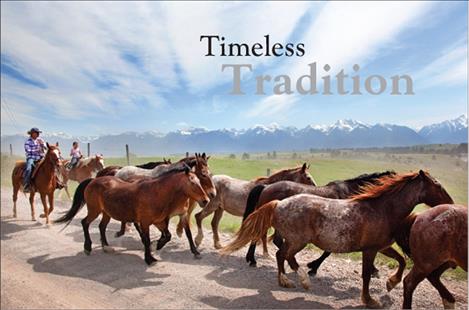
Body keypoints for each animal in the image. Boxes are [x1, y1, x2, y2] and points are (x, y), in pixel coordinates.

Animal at [54, 166, 208, 266]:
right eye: (192, 182)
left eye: (200, 181)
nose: (205, 200)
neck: (156, 193)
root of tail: (92, 180)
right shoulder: (145, 222)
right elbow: (147, 239)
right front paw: (149, 258)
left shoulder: (159, 221)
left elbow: (168, 235)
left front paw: (157, 245)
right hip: (94, 210)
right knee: (85, 223)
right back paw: (87, 247)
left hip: (106, 213)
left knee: (101, 226)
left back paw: (106, 247)